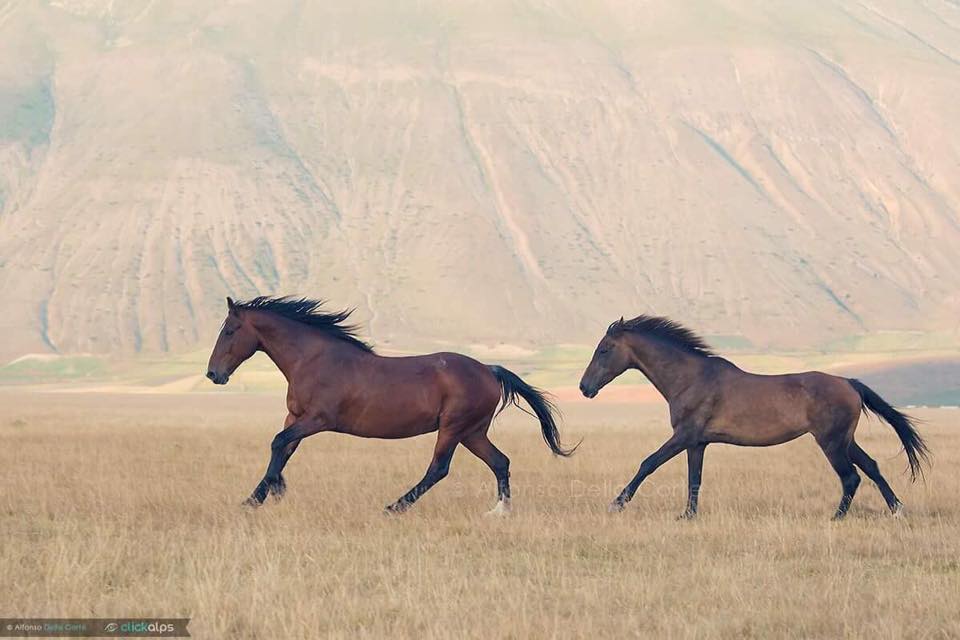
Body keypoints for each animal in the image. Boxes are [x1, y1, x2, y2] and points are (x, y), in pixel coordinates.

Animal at [205, 295, 575, 513]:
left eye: (230, 330)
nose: (213, 374)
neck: (312, 359)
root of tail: (489, 369)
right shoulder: (295, 417)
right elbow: (284, 448)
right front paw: (268, 492)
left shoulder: (317, 419)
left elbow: (278, 443)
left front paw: (259, 498)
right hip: (473, 432)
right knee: (500, 462)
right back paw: (499, 511)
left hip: (453, 428)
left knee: (438, 469)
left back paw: (395, 507)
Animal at [578, 316, 929, 520]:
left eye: (604, 349)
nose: (584, 387)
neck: (691, 378)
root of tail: (849, 383)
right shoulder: (698, 443)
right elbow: (694, 478)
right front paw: (688, 516)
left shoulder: (683, 436)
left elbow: (648, 463)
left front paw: (617, 503)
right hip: (845, 440)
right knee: (871, 467)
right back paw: (896, 509)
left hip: (831, 442)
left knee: (851, 477)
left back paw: (837, 517)